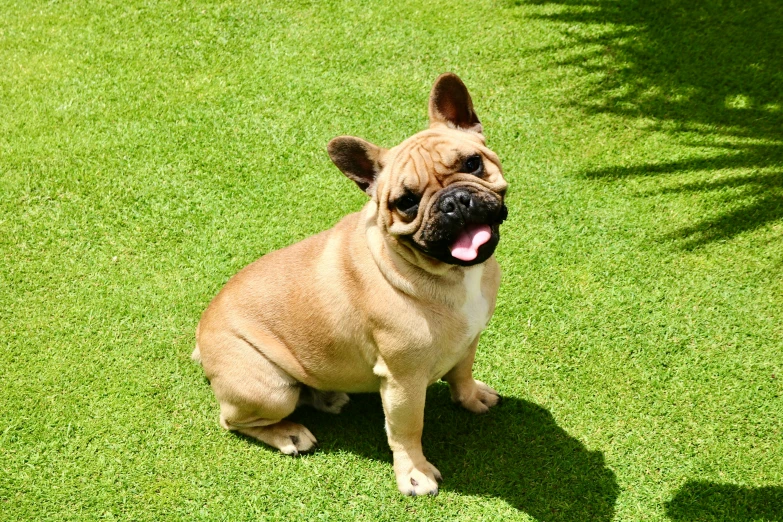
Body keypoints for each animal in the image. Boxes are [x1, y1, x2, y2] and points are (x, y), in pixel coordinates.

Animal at [194, 72, 512, 492]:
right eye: (406, 202)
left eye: (473, 164)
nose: (454, 201)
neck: (448, 273)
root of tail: (201, 337)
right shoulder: (403, 381)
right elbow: (407, 429)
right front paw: (413, 473)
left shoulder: (469, 339)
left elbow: (462, 371)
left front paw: (471, 397)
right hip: (269, 389)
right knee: (233, 419)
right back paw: (287, 432)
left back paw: (326, 398)